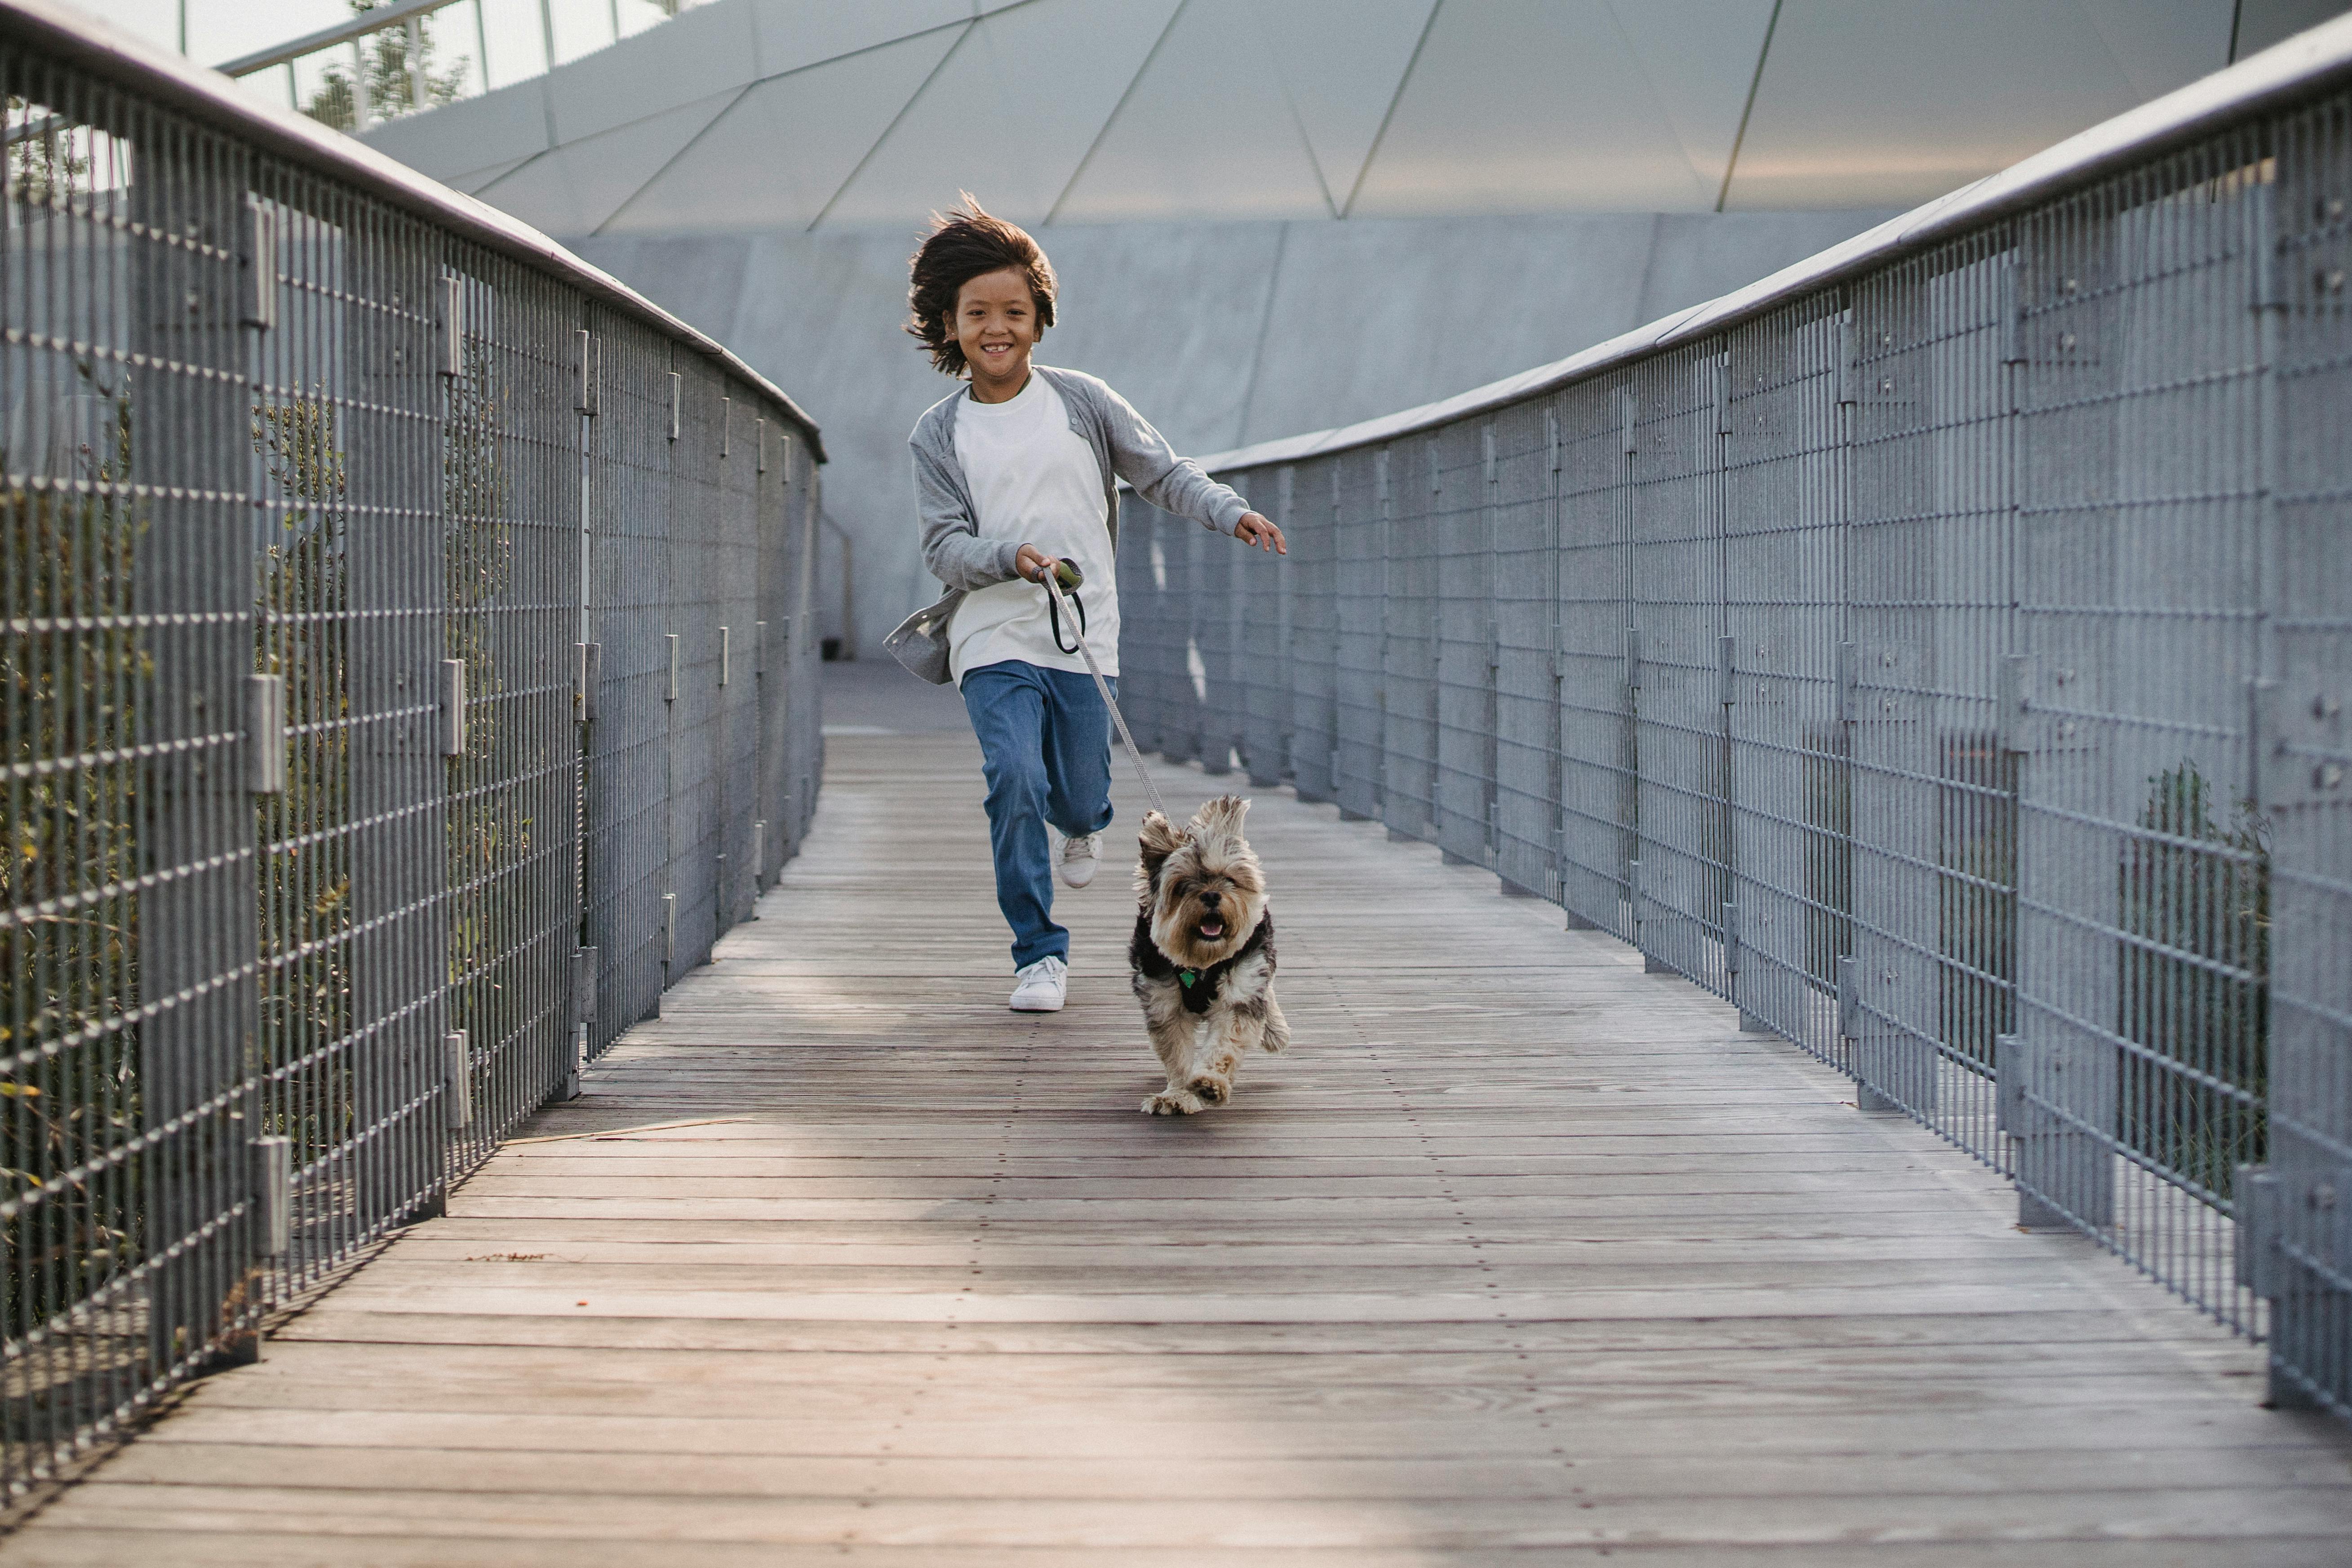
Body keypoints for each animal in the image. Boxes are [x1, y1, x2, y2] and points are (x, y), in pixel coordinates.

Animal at [1124, 799, 1289, 1114]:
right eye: (1181, 885)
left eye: (1229, 879)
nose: (1212, 895)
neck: (1200, 963)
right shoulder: (1164, 1002)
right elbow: (1177, 1053)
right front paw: (1177, 1095)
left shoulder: (1240, 990)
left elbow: (1226, 1038)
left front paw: (1211, 1083)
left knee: (1268, 991)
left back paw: (1276, 1031)